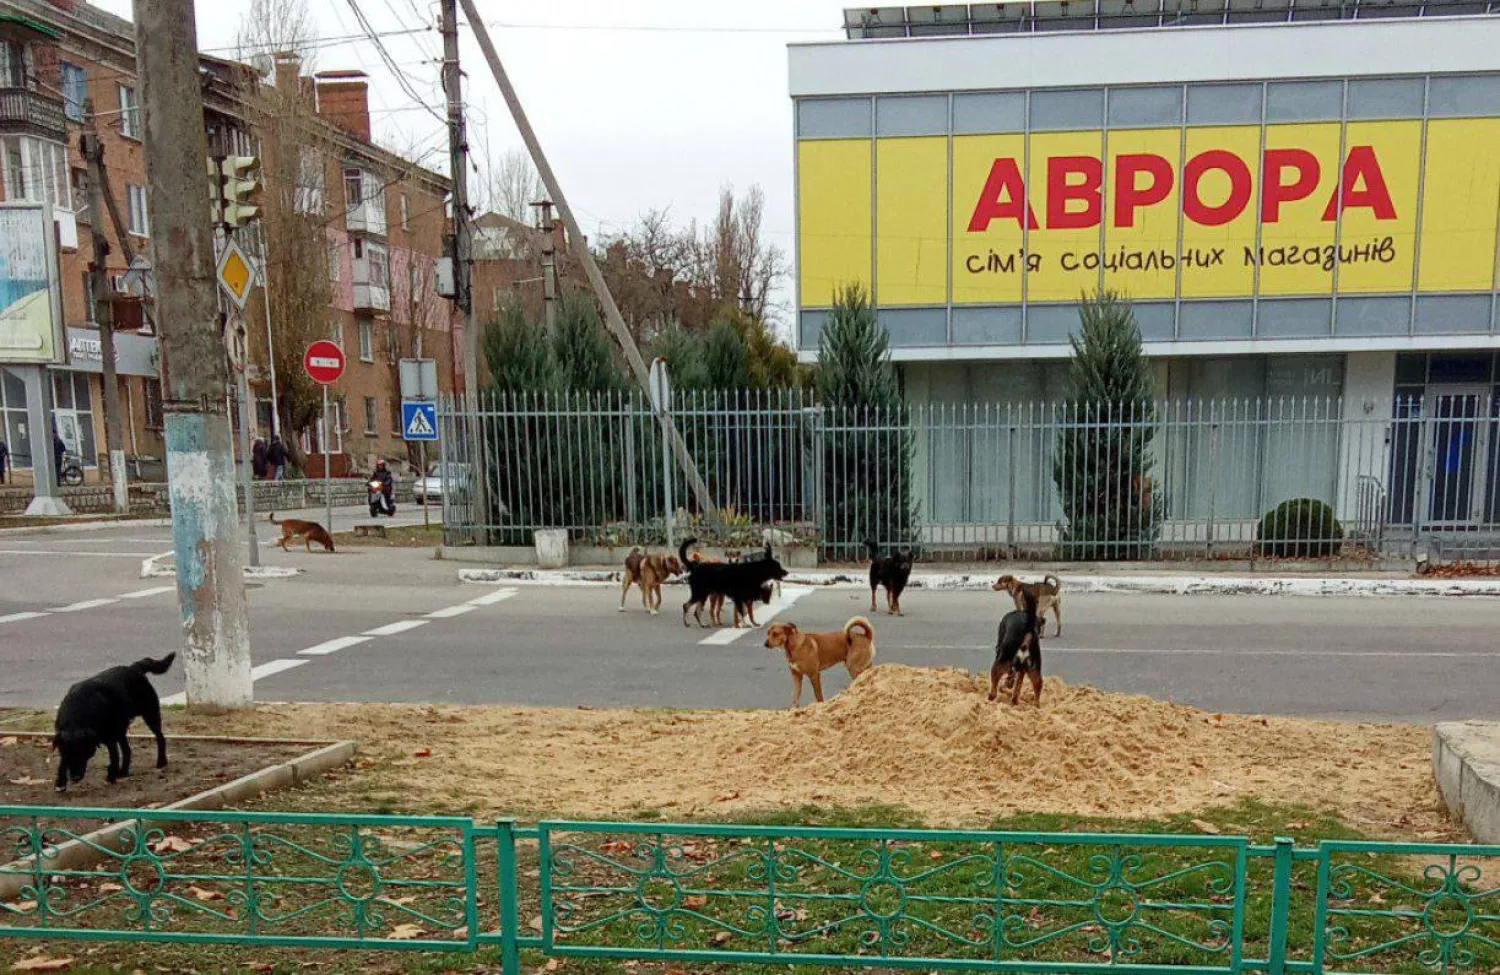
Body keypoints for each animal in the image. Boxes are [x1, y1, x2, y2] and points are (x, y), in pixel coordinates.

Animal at [53, 654, 174, 792]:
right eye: (68, 754)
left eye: (83, 752)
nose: (75, 777)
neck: (77, 717)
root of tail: (133, 668)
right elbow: (62, 763)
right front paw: (60, 782)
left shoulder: (110, 737)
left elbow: (114, 757)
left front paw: (111, 777)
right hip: (121, 729)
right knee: (127, 750)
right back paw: (124, 772)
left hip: (149, 715)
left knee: (160, 737)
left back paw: (161, 762)